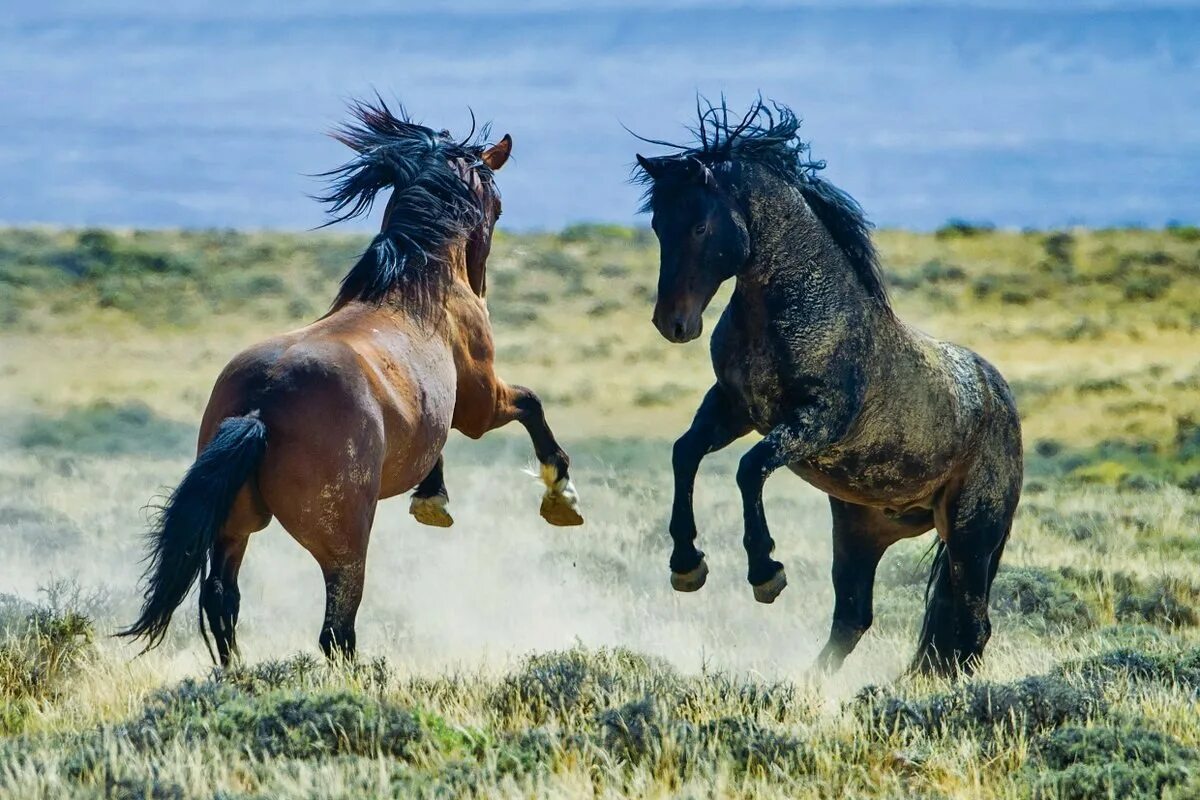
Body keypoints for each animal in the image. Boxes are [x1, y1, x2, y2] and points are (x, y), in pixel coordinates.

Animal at [119, 100, 583, 666]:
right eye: (497, 202)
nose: (483, 282)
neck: (417, 286)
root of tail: (261, 406)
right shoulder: (481, 405)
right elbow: (531, 404)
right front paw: (561, 493)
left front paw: (432, 499)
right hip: (342, 540)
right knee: (336, 629)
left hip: (235, 527)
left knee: (222, 600)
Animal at [638, 100, 1022, 676]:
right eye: (659, 224)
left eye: (701, 224)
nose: (673, 323)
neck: (805, 307)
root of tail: (1003, 399)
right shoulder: (734, 408)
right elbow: (685, 453)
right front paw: (687, 565)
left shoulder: (813, 421)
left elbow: (750, 469)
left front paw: (765, 572)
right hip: (861, 530)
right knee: (854, 619)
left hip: (972, 536)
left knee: (971, 628)